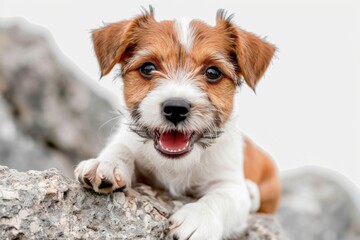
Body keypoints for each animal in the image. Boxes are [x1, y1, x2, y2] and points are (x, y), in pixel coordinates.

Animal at [74, 7, 282, 240]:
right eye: (148, 68)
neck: (177, 165)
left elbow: (221, 197)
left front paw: (199, 219)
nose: (175, 108)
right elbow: (121, 147)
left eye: (213, 72)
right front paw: (106, 163)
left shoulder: (230, 184)